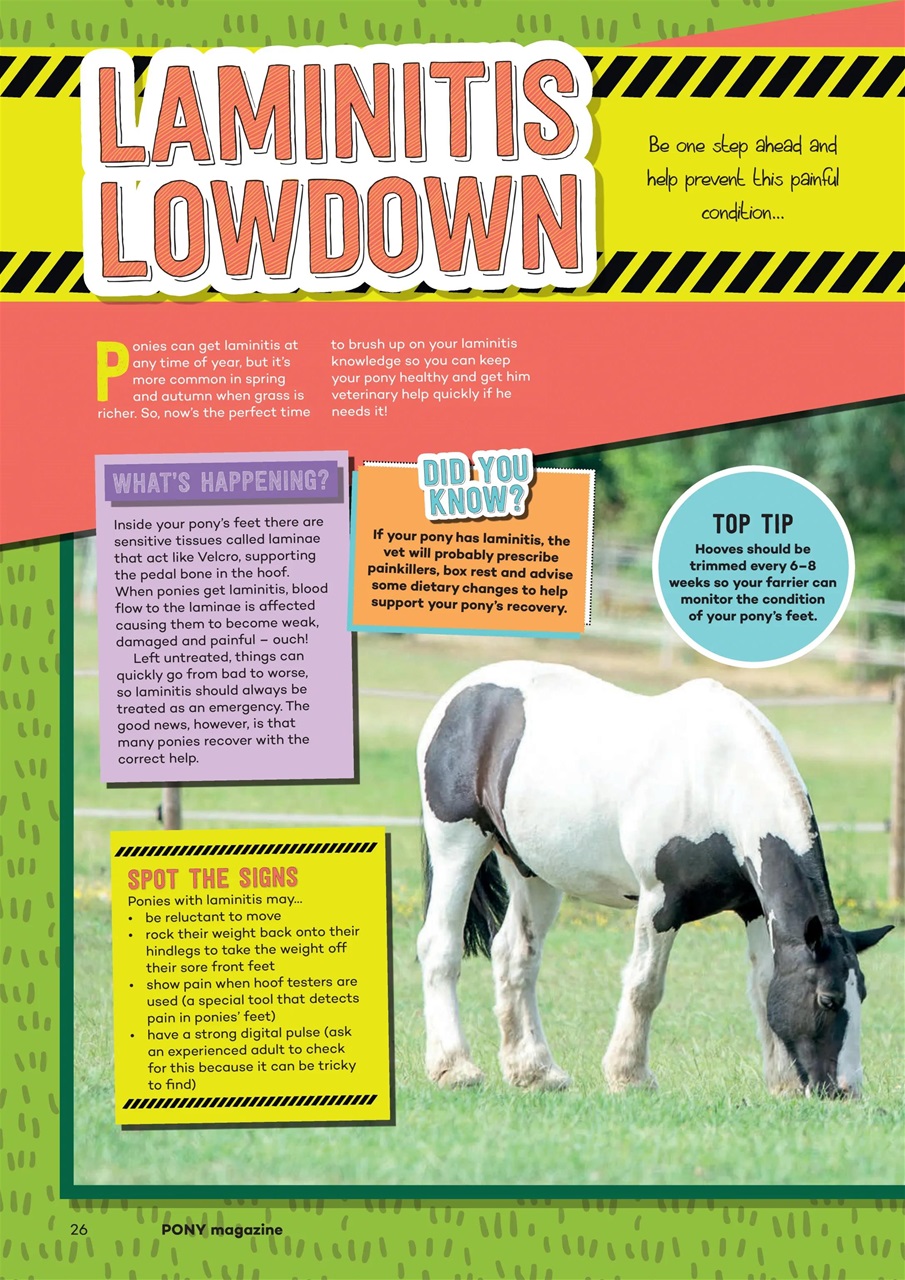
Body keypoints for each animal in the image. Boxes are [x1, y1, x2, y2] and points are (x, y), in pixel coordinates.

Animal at [416, 661, 891, 1098]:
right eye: (828, 999)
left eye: (863, 994)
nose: (846, 1090)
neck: (719, 779)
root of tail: (458, 696)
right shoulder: (661, 904)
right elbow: (645, 985)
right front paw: (630, 1076)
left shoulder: (754, 907)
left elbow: (763, 986)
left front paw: (784, 1083)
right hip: (457, 846)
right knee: (440, 947)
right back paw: (455, 1068)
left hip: (532, 872)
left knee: (516, 956)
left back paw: (536, 1072)